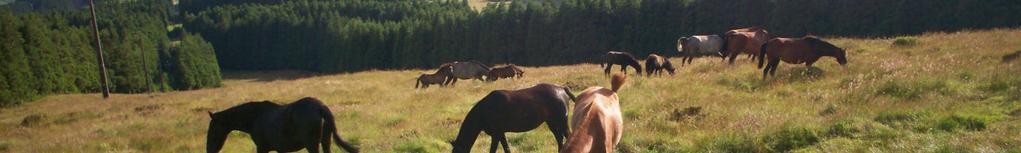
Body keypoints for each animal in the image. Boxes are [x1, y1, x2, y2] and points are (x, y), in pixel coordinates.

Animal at [204, 96, 359, 153]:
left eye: (213, 129)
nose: (209, 150)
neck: (255, 117)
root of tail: (320, 107)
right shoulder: (280, 149)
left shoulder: (262, 147)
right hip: (326, 141)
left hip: (312, 144)